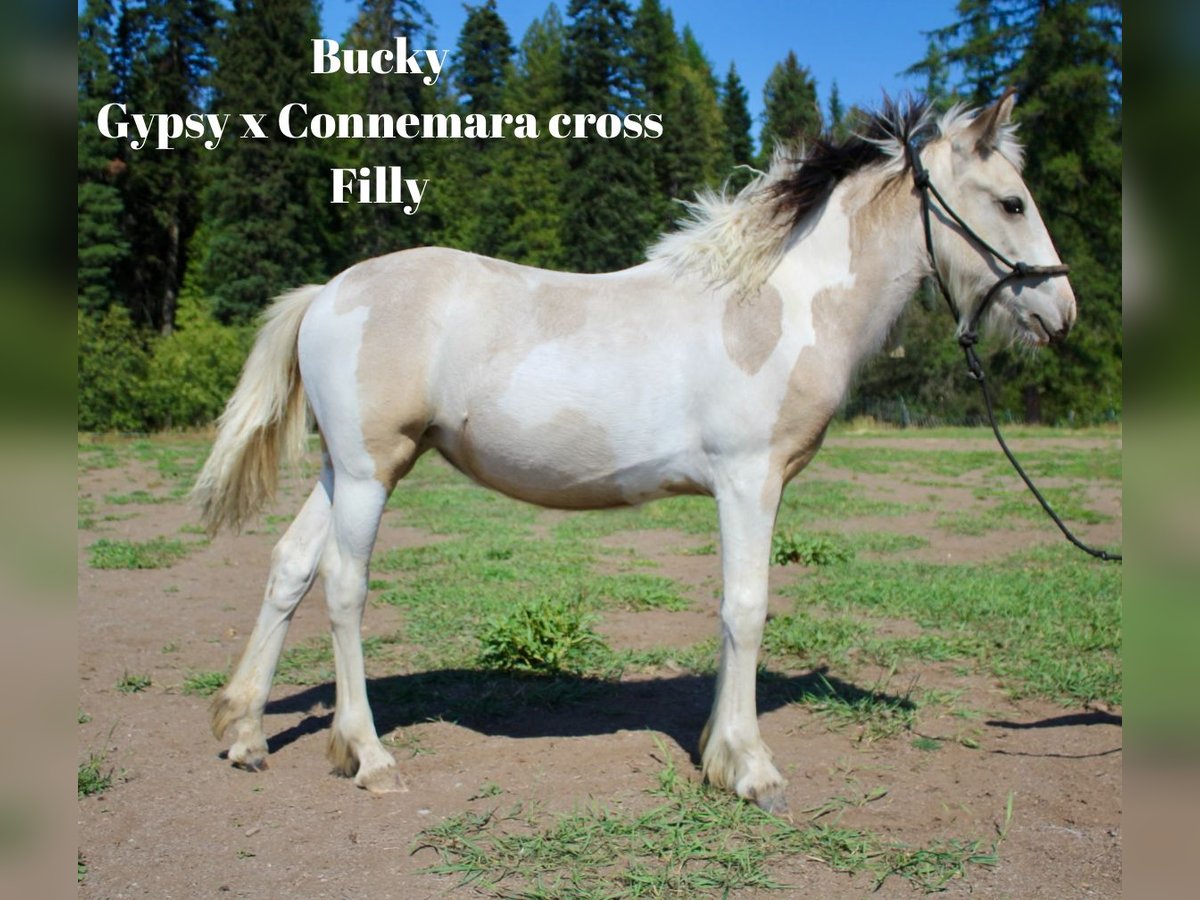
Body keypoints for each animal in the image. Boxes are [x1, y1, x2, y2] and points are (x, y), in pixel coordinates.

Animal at [192, 92, 1076, 814]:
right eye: (1011, 201)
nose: (1062, 312)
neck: (772, 307)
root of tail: (329, 293)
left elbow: (730, 615)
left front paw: (719, 752)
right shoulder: (749, 481)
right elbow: (747, 609)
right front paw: (751, 769)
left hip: (345, 471)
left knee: (291, 567)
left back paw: (245, 735)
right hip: (371, 473)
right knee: (344, 587)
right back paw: (367, 756)